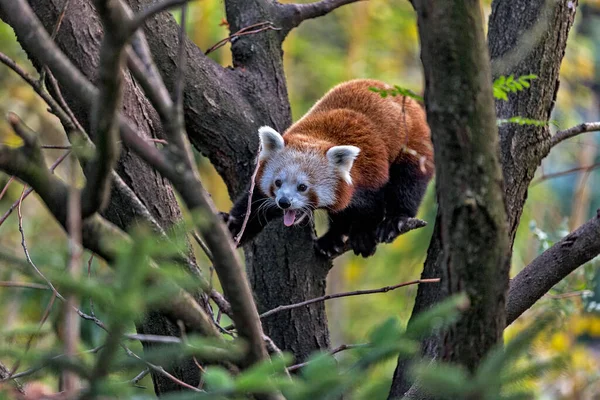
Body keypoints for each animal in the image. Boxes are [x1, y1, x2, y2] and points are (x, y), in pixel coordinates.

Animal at [223, 79, 434, 258]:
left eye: (303, 187)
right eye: (278, 182)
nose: (284, 202)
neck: (319, 135)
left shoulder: (371, 174)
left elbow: (371, 206)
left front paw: (363, 235)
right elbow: (253, 205)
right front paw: (232, 226)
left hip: (413, 144)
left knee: (407, 184)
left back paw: (395, 219)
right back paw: (331, 239)